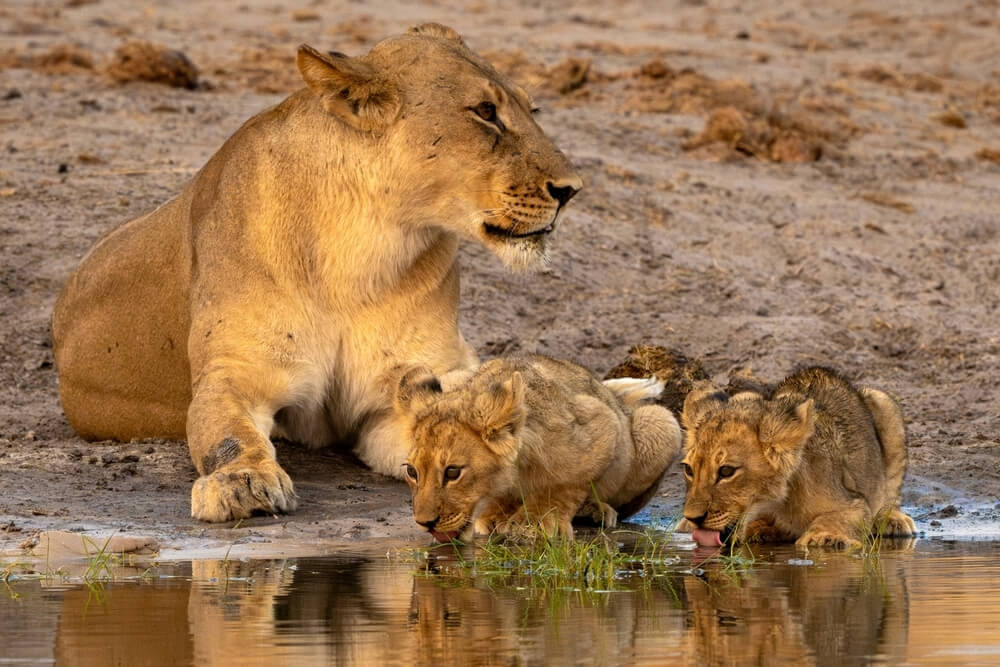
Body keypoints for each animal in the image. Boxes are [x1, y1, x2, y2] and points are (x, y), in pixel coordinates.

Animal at [51, 23, 582, 522]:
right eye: (485, 112)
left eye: (532, 109)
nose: (572, 189)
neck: (364, 248)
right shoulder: (234, 373)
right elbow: (225, 432)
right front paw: (241, 483)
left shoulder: (399, 396)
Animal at [393, 355, 682, 541]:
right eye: (412, 472)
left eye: (453, 472)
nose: (425, 523)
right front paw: (497, 515)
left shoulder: (601, 422)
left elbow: (563, 484)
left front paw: (532, 522)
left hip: (661, 422)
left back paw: (595, 511)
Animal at [678, 366, 916, 549]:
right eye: (689, 469)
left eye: (726, 471)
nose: (693, 518)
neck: (775, 502)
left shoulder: (853, 502)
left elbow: (835, 518)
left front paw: (824, 538)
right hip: (745, 394)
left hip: (885, 404)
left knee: (890, 492)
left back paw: (893, 520)